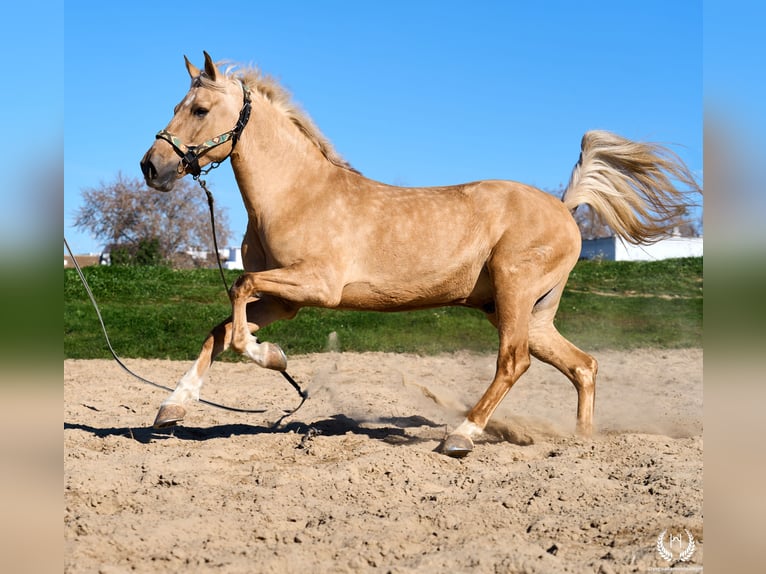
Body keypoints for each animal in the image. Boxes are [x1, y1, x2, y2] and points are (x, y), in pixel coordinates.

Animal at [140, 52, 699, 457]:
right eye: (177, 105)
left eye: (199, 110)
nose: (152, 166)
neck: (299, 194)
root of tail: (564, 207)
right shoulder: (288, 300)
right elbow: (220, 328)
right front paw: (172, 409)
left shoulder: (317, 285)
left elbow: (239, 293)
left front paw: (271, 355)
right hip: (529, 311)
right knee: (583, 365)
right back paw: (581, 442)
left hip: (515, 295)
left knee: (513, 363)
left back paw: (461, 436)